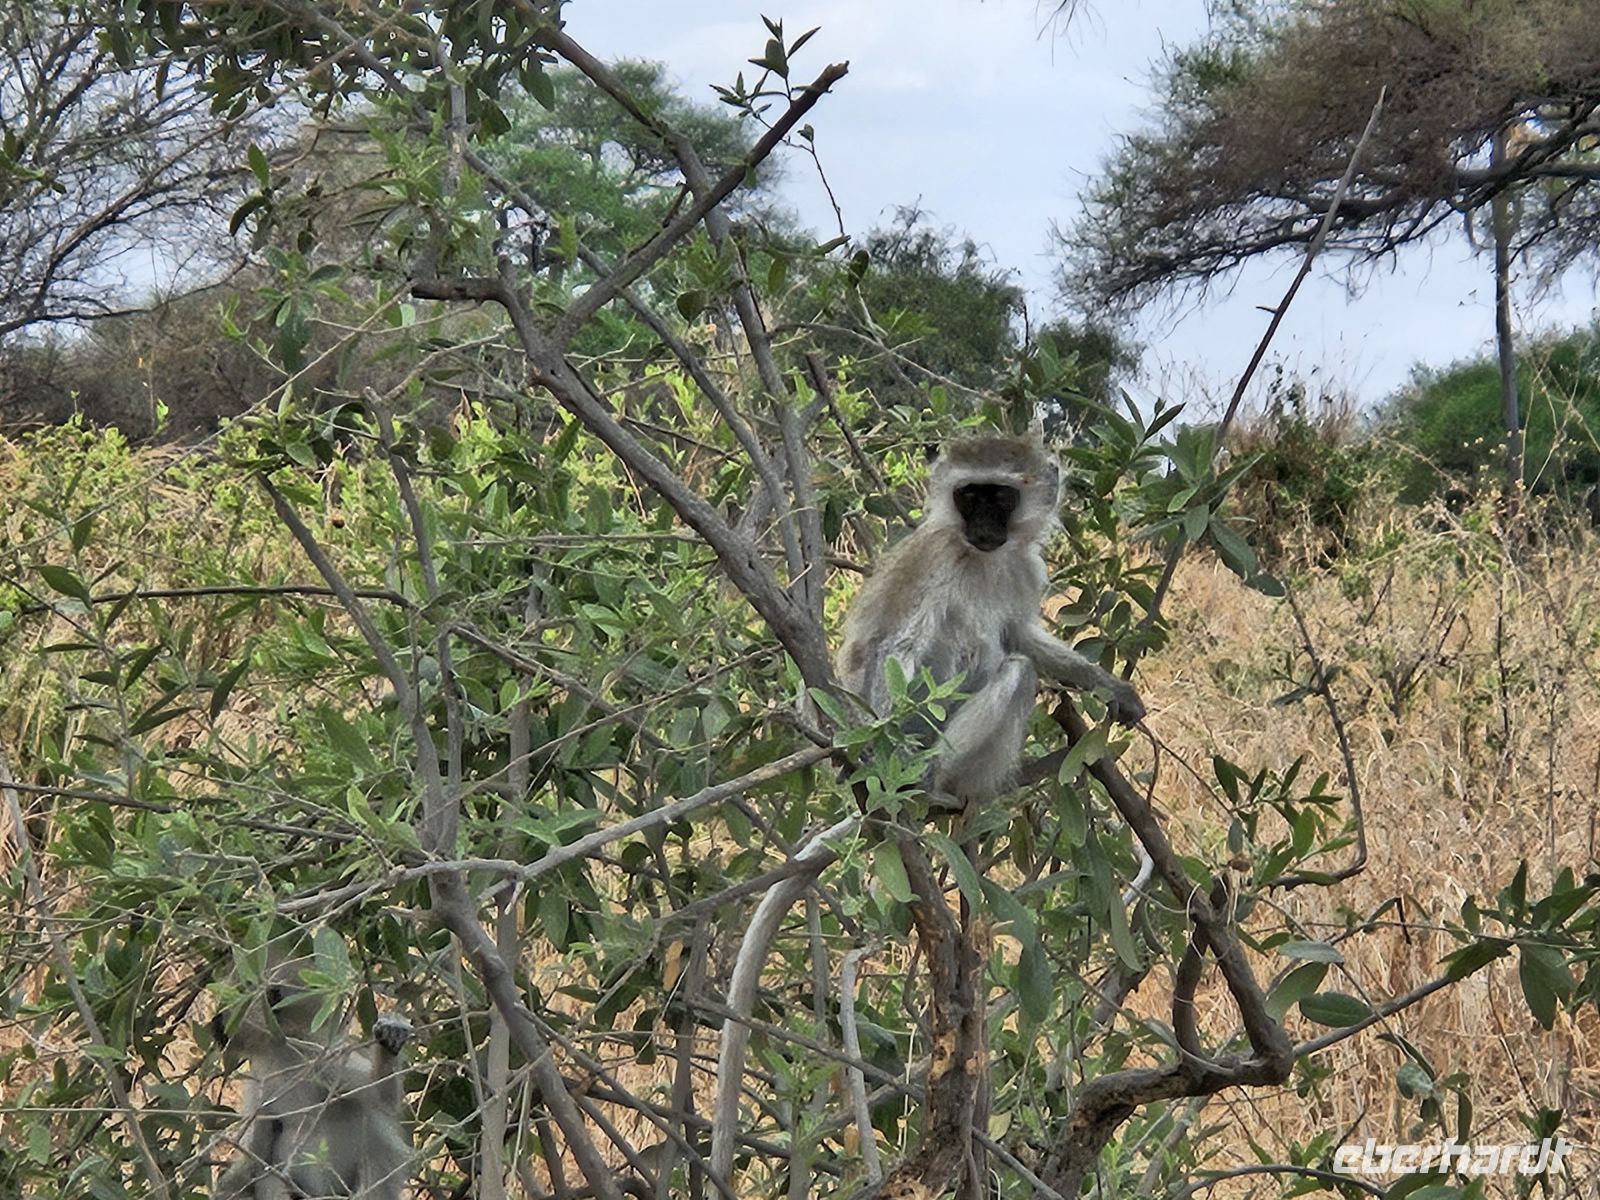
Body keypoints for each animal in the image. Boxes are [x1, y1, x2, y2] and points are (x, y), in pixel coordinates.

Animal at [211, 961, 413, 1200]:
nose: (215, 1021)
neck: (281, 1047)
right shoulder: (259, 1076)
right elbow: (257, 1149)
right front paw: (230, 1185)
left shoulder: (319, 1053)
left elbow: (380, 1096)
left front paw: (390, 1043)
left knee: (373, 1128)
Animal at [836, 434, 1145, 803]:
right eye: (969, 496)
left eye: (1001, 497)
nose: (982, 527)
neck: (985, 558)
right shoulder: (936, 555)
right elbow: (899, 647)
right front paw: (887, 750)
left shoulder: (1027, 567)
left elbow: (1019, 636)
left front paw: (1110, 686)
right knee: (1012, 669)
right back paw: (925, 777)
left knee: (1017, 667)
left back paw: (944, 783)